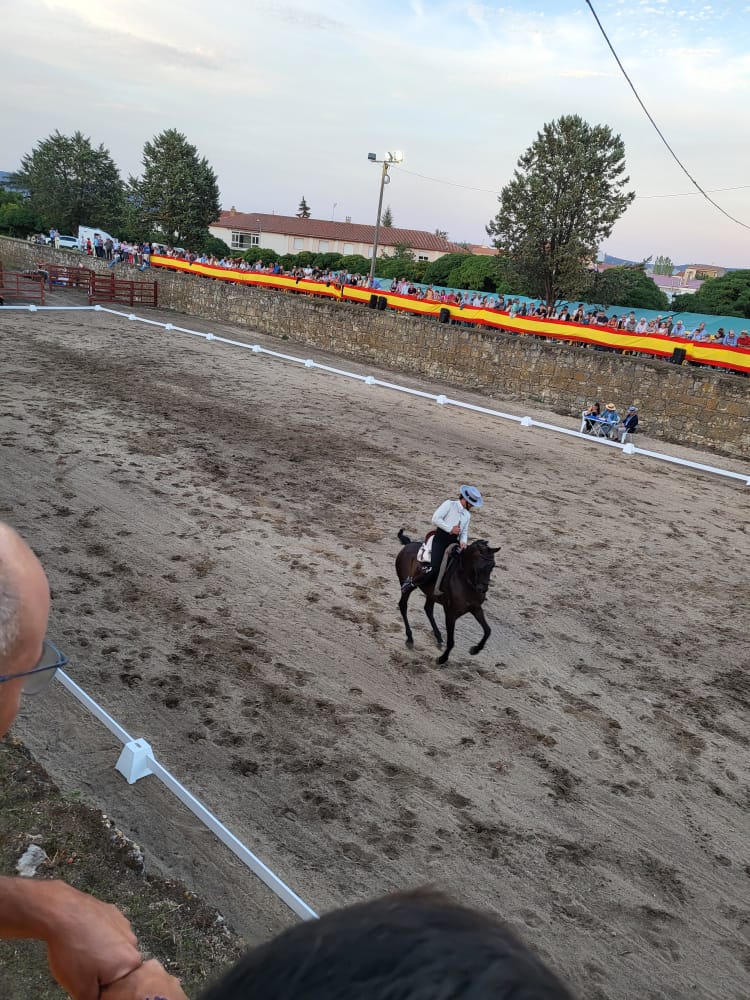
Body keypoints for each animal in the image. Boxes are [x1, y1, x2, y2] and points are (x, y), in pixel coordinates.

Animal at [396, 532, 502, 664]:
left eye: (492, 565)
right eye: (479, 566)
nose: (482, 589)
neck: (465, 581)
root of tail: (408, 545)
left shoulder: (476, 608)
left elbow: (487, 630)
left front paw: (475, 650)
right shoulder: (451, 614)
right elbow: (451, 641)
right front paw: (442, 659)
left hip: (431, 594)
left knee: (428, 609)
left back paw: (438, 637)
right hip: (407, 586)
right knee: (403, 605)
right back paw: (410, 638)